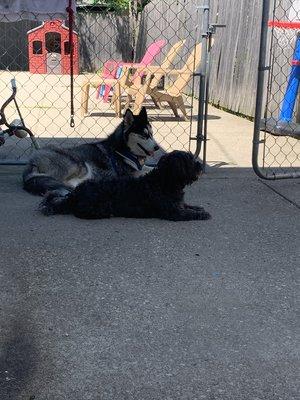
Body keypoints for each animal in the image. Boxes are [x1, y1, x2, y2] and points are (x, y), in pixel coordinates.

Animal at [22, 108, 159, 197]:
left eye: (152, 134)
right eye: (144, 135)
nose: (157, 147)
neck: (123, 149)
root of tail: (32, 162)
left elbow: (151, 167)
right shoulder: (130, 173)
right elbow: (147, 171)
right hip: (79, 165)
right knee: (65, 184)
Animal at [39, 152, 211, 223]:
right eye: (189, 160)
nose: (200, 166)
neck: (164, 182)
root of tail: (75, 194)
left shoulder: (179, 204)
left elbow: (189, 206)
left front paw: (198, 208)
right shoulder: (173, 212)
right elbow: (189, 214)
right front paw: (201, 214)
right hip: (100, 205)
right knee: (82, 213)